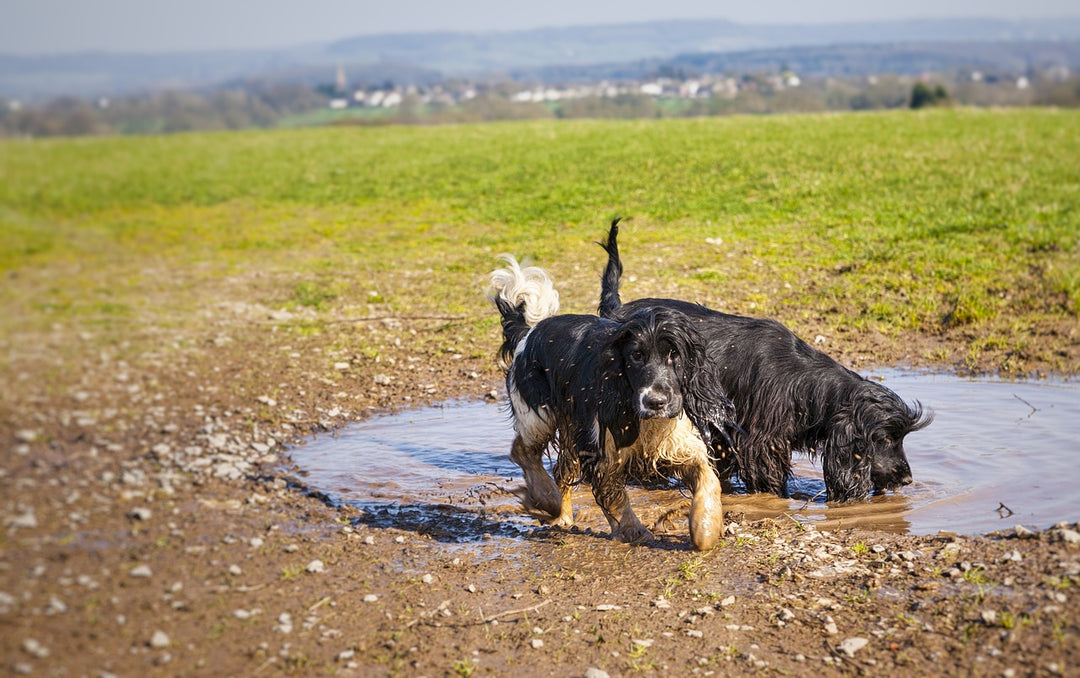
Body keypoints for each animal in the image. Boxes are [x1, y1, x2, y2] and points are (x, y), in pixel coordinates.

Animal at [488, 254, 734, 550]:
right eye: (636, 356)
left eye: (674, 354)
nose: (655, 402)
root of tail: (528, 332)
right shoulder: (602, 446)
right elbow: (614, 495)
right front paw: (635, 531)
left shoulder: (678, 441)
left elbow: (705, 477)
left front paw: (705, 527)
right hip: (539, 414)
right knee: (524, 451)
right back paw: (548, 498)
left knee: (560, 469)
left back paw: (563, 515)